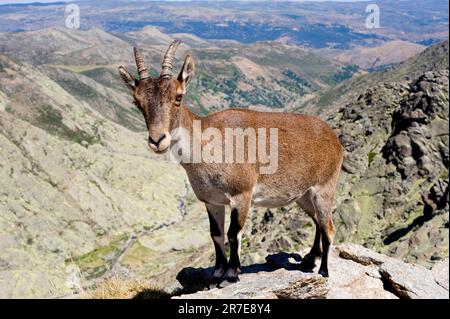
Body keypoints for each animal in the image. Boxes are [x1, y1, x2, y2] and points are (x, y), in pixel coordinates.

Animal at [118, 40, 342, 288]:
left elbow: (235, 233)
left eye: (178, 96)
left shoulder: (242, 195)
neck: (207, 148)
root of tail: (333, 137)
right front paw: (217, 272)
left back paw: (323, 270)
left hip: (324, 188)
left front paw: (232, 273)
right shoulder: (212, 201)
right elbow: (216, 234)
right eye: (136, 101)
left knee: (329, 228)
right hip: (303, 195)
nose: (157, 140)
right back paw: (309, 259)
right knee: (318, 223)